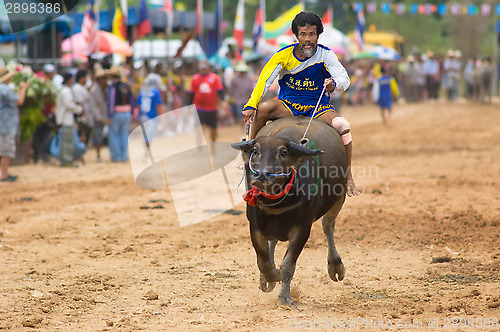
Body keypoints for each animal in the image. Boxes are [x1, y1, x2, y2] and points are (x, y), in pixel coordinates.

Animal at [231, 117, 346, 308]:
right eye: (255, 150)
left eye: (283, 152)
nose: (262, 174)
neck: (275, 204)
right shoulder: (255, 227)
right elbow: (263, 261)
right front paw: (270, 277)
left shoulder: (302, 229)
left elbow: (288, 265)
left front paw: (284, 297)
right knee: (273, 242)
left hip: (339, 198)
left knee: (328, 226)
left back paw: (335, 266)